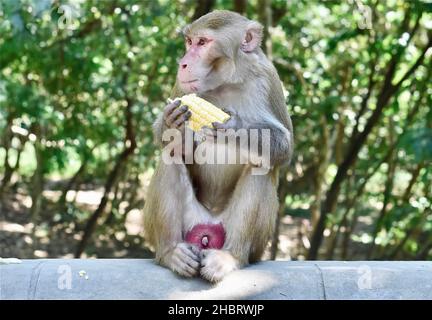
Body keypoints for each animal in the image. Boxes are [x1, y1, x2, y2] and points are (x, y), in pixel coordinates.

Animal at [144, 10, 294, 282]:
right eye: (189, 42)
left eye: (203, 43)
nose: (182, 64)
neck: (227, 82)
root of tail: (210, 222)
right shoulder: (182, 86)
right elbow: (169, 140)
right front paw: (174, 123)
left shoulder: (268, 77)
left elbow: (284, 147)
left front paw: (235, 127)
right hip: (189, 223)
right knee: (170, 156)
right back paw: (171, 252)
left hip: (253, 243)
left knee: (261, 164)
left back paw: (230, 257)